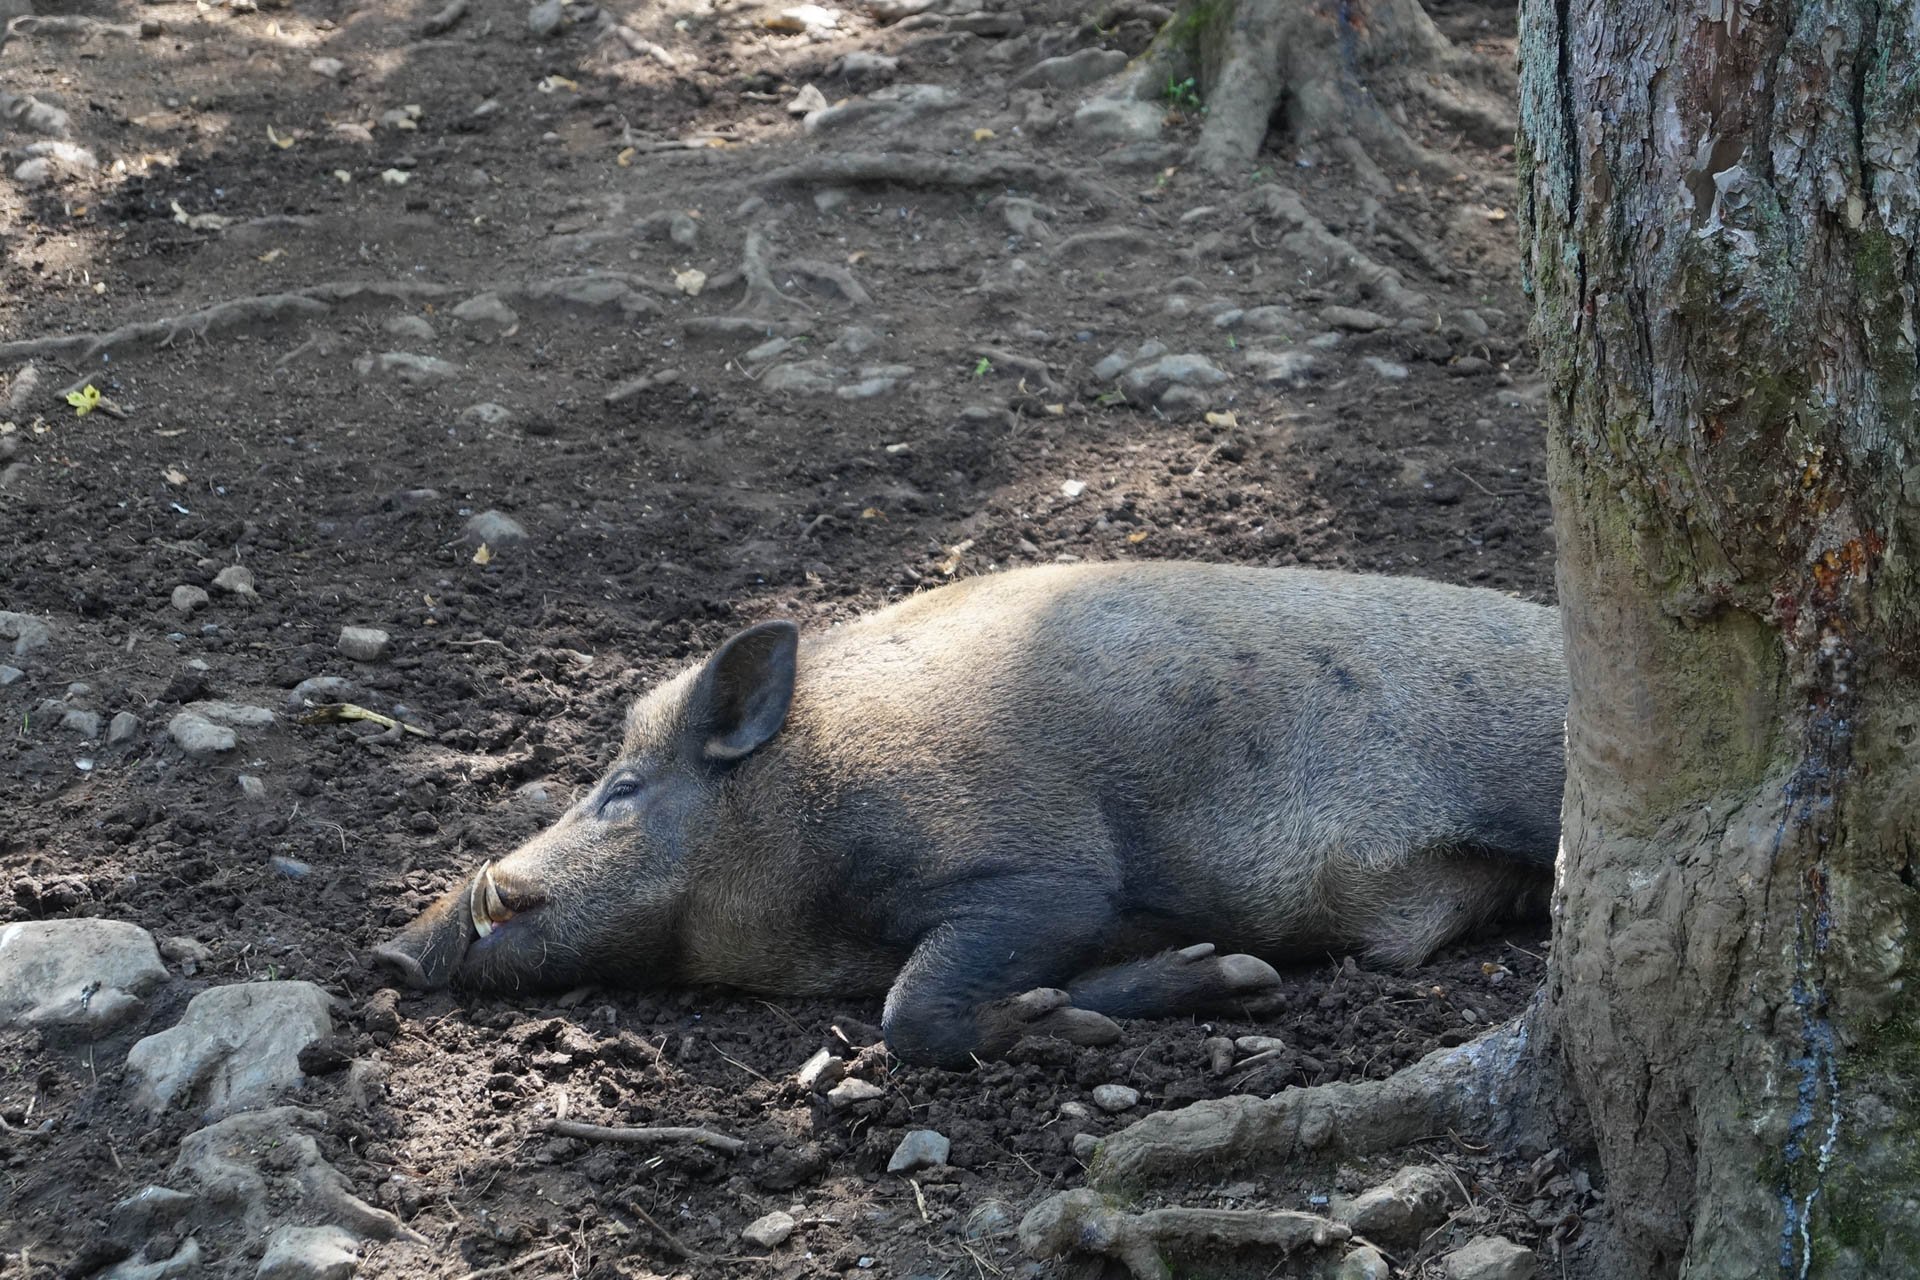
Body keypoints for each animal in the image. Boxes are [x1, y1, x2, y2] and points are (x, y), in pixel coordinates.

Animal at [376, 562, 1564, 1067]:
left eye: (620, 791)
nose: (392, 948)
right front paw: (1230, 979)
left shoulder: (1037, 870)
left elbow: (912, 1011)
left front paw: (1082, 1024)